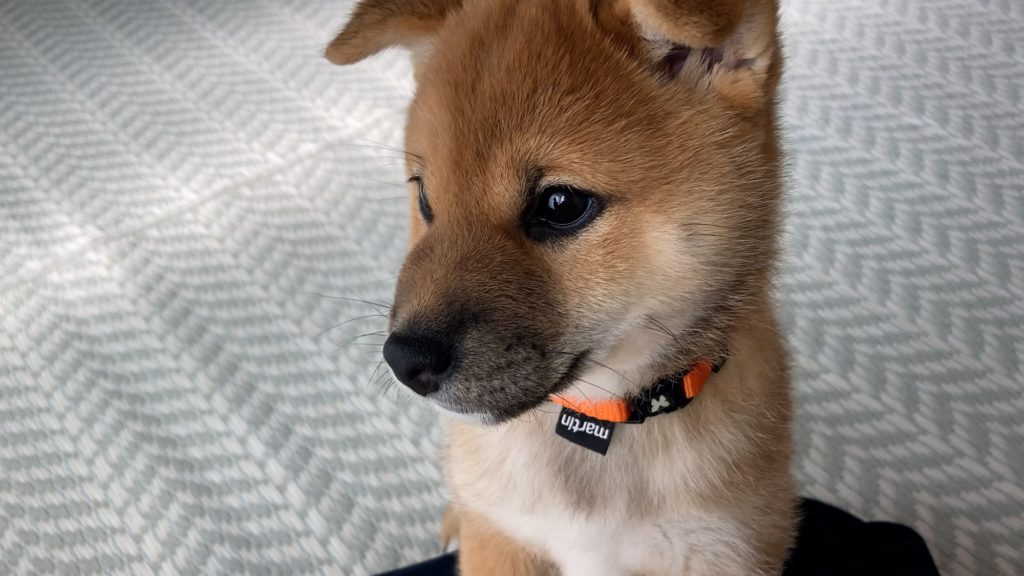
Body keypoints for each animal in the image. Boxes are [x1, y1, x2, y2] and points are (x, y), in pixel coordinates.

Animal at [327, 0, 795, 574]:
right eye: (424, 197)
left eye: (560, 204)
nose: (403, 360)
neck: (601, 419)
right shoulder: (501, 538)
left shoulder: (725, 548)